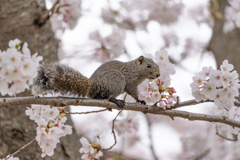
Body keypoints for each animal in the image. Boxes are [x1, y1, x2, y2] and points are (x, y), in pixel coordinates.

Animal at [31, 55, 159, 108]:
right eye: (148, 66)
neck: (136, 70)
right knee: (106, 95)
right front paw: (140, 100)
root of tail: (92, 86)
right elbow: (132, 91)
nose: (158, 75)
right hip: (117, 81)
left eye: (158, 65)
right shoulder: (130, 80)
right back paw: (115, 100)